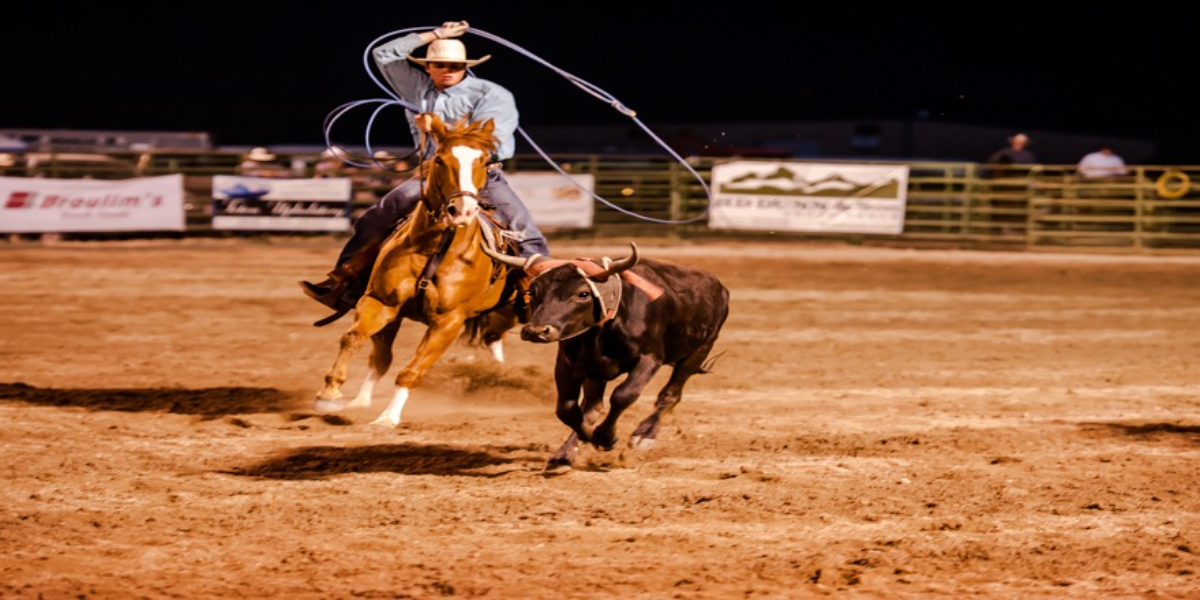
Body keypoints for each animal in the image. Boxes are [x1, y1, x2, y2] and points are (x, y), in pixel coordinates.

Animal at [316, 115, 523, 427]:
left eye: (485, 161)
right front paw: (330, 392)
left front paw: (388, 417)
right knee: (382, 357)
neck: (434, 248)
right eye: (439, 159)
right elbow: (354, 339)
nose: (462, 211)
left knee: (493, 335)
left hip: (507, 312)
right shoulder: (381, 302)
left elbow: (412, 370)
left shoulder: (449, 321)